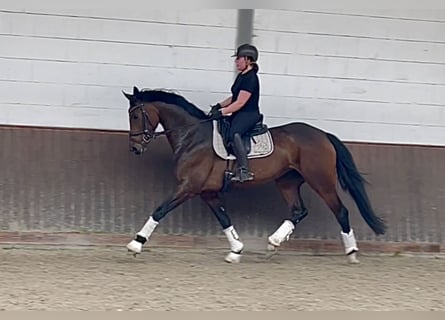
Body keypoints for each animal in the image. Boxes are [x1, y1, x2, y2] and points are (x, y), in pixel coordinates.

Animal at [121, 86, 386, 264]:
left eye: (135, 115)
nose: (134, 148)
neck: (193, 137)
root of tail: (323, 135)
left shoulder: (188, 186)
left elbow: (160, 210)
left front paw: (135, 244)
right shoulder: (207, 192)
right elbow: (224, 219)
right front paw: (236, 250)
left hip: (321, 180)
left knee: (340, 211)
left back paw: (351, 253)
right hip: (287, 181)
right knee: (299, 211)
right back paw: (273, 242)